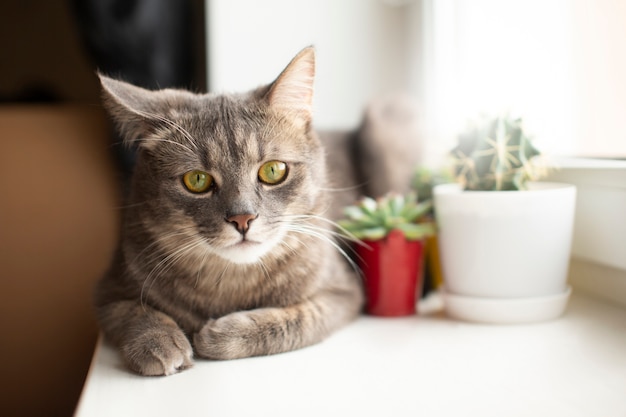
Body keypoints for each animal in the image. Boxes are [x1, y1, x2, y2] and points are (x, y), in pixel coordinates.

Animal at [96, 46, 420, 376]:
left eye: (273, 171)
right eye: (197, 180)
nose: (242, 218)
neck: (232, 282)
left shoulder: (344, 292)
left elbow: (299, 319)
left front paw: (222, 334)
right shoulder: (108, 289)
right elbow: (131, 311)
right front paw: (158, 341)